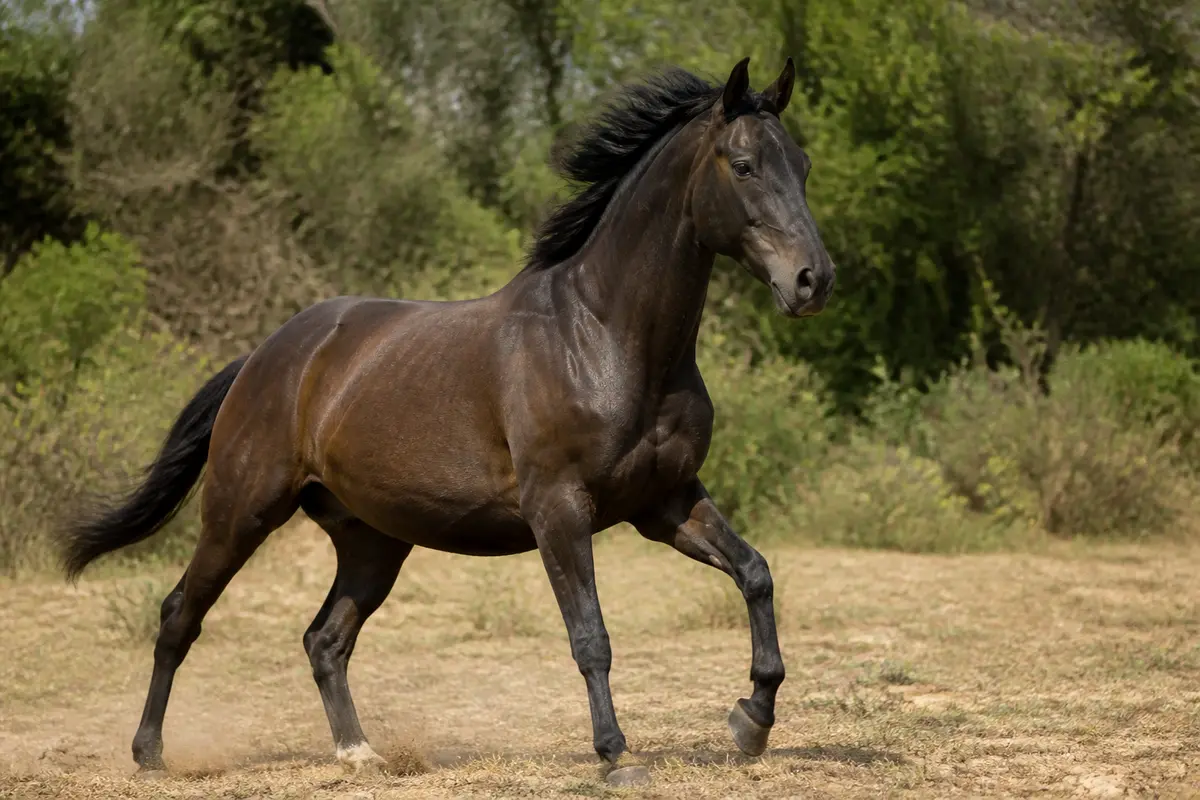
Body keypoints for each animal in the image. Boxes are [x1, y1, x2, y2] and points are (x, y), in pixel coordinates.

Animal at [58, 55, 836, 785]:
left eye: (801, 164)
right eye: (743, 165)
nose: (814, 280)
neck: (605, 337)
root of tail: (267, 356)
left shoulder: (665, 501)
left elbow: (756, 573)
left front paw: (751, 720)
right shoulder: (560, 509)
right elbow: (591, 636)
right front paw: (617, 756)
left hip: (372, 542)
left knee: (324, 639)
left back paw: (358, 754)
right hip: (241, 511)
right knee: (179, 616)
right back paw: (150, 753)